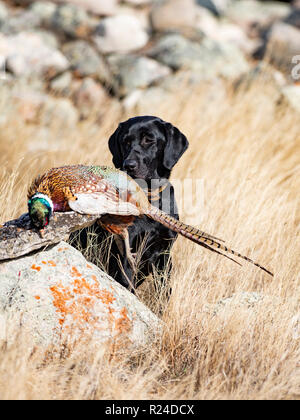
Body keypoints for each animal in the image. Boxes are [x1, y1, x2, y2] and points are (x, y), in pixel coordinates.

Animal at [72, 115, 189, 292]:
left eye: (149, 140)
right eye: (125, 142)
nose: (129, 165)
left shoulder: (164, 254)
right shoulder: (127, 253)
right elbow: (127, 284)